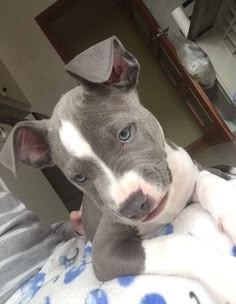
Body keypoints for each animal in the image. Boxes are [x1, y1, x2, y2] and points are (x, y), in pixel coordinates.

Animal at [1, 36, 236, 302]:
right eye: (79, 177)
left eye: (125, 134)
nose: (134, 205)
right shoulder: (105, 254)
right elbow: (177, 243)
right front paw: (227, 276)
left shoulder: (193, 170)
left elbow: (212, 184)